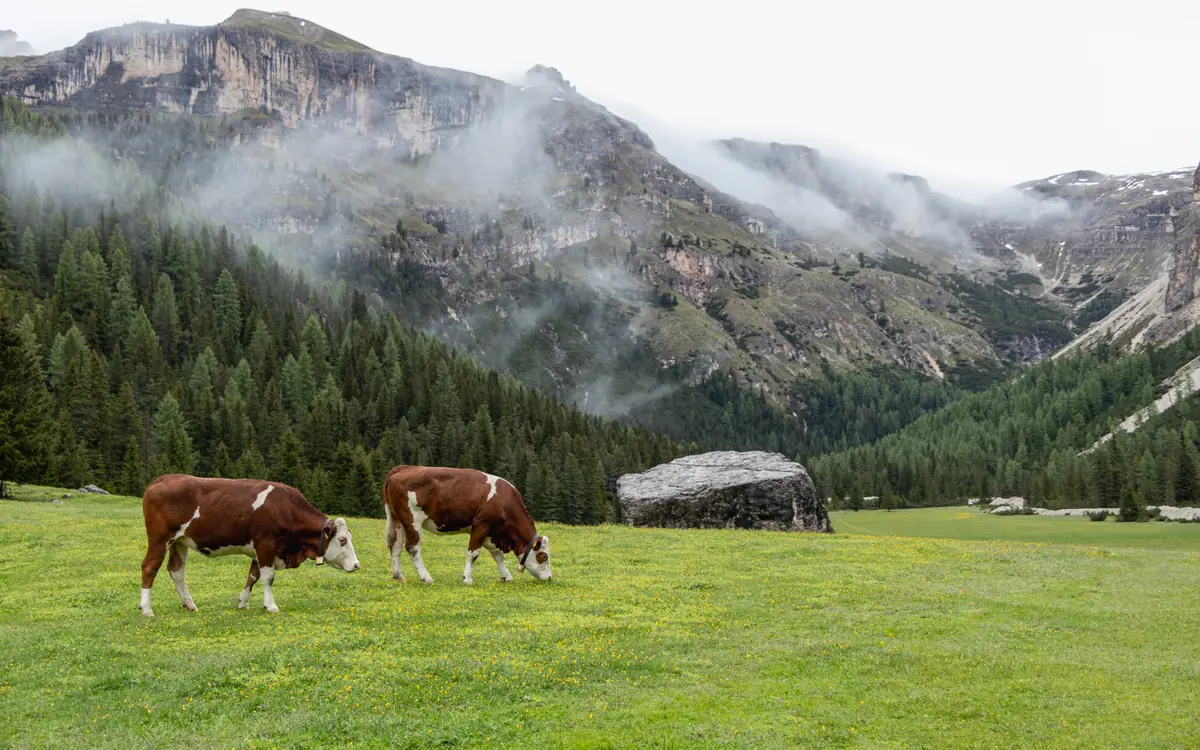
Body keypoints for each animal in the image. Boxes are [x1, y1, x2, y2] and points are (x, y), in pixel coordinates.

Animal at [138, 474, 360, 617]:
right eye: (342, 540)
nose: (357, 565)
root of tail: (164, 478)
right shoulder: (266, 544)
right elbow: (268, 578)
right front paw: (271, 606)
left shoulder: (259, 550)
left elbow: (253, 576)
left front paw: (243, 603)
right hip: (159, 539)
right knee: (149, 567)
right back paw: (147, 609)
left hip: (179, 542)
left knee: (176, 571)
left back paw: (190, 604)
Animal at [381, 465, 552, 585]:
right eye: (543, 556)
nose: (550, 577)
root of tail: (403, 468)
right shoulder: (481, 525)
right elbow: (473, 553)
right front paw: (467, 579)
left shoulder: (491, 533)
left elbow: (498, 555)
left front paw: (507, 576)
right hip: (413, 520)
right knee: (412, 548)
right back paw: (426, 578)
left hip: (397, 520)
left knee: (395, 546)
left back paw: (399, 576)